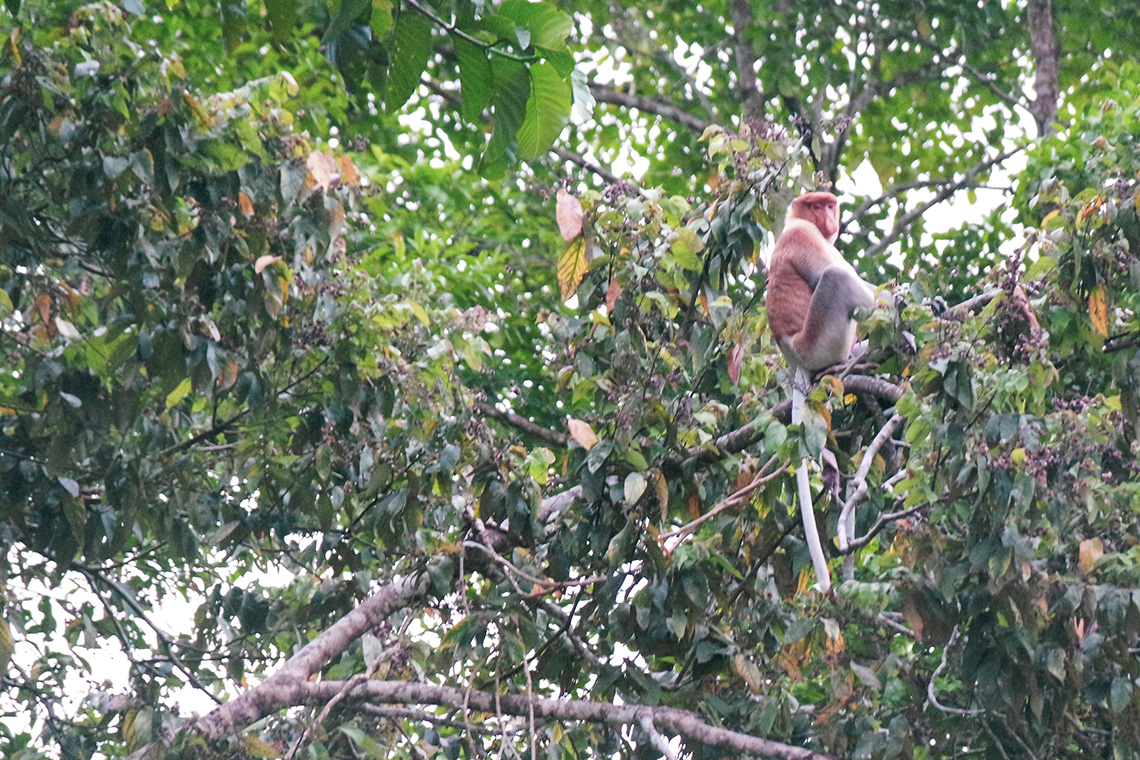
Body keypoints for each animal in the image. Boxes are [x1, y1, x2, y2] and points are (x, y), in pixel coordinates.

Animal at [766, 191, 870, 592]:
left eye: (830, 204)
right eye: (817, 205)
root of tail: (794, 354)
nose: (830, 218)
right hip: (821, 341)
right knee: (835, 279)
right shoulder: (804, 236)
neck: (795, 220)